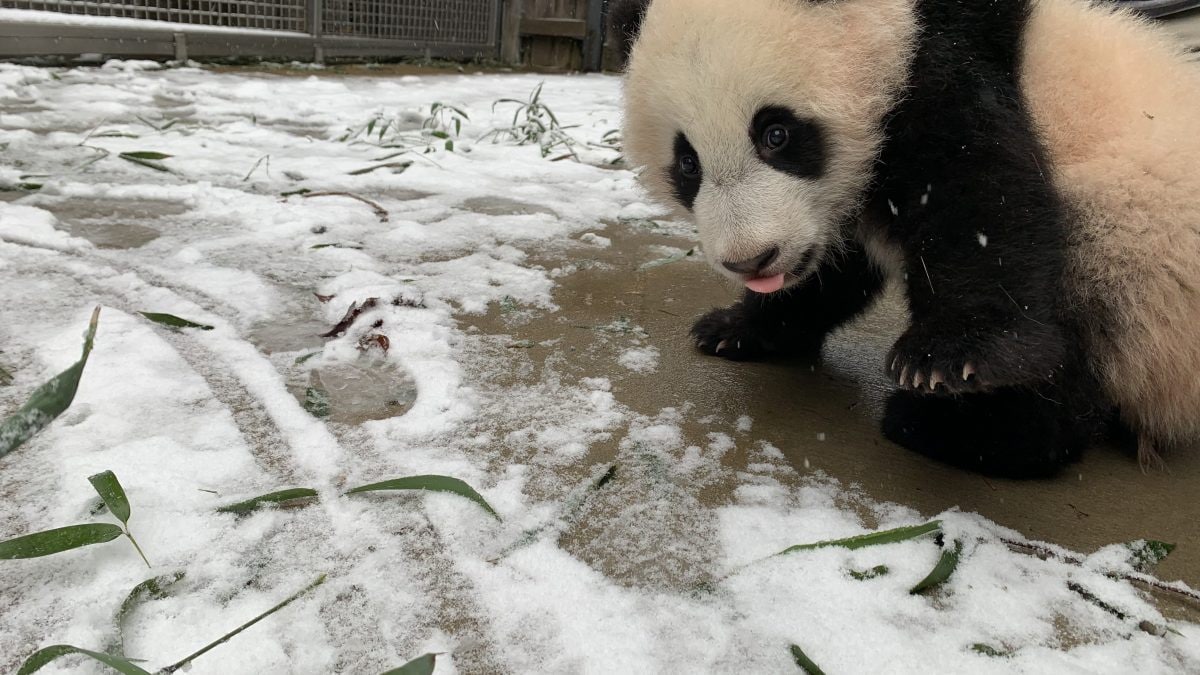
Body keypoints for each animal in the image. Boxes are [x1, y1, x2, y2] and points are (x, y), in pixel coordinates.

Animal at [609, 0, 1200, 477]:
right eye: (687, 163)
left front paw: (947, 358)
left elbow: (979, 196)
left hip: (1136, 240)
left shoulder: (943, 67)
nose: (753, 260)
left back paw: (966, 429)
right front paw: (737, 328)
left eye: (776, 134)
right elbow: (835, 269)